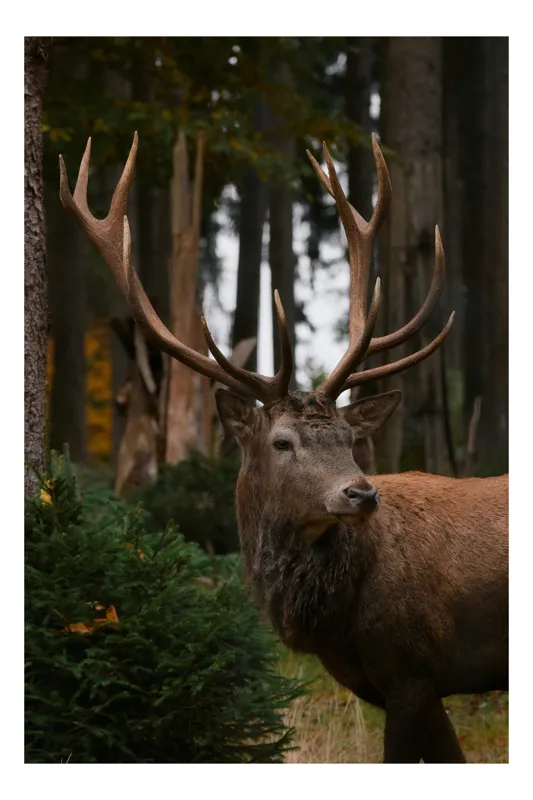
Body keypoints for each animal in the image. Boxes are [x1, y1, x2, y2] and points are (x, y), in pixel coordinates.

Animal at [59, 132, 508, 763]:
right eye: (282, 441)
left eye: (351, 439)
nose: (361, 493)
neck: (338, 622)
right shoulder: (404, 680)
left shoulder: (413, 669)